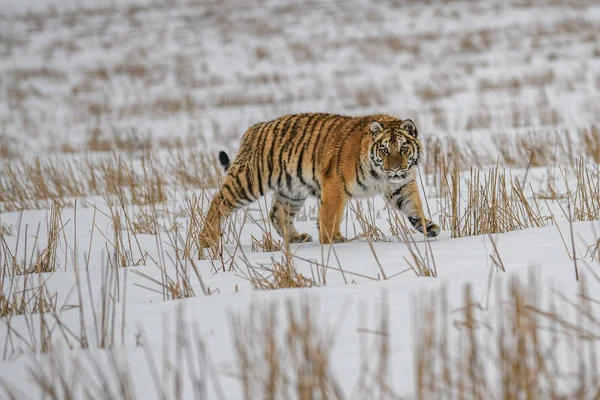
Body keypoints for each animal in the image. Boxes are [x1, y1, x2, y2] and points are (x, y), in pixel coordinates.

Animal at [199, 112, 438, 248]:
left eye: (403, 149)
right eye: (385, 150)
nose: (395, 168)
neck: (382, 175)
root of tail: (253, 129)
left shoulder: (402, 185)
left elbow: (414, 206)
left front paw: (429, 227)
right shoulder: (334, 184)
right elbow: (330, 215)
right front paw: (333, 241)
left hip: (291, 190)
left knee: (278, 213)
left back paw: (296, 238)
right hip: (249, 180)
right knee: (218, 202)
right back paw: (207, 241)